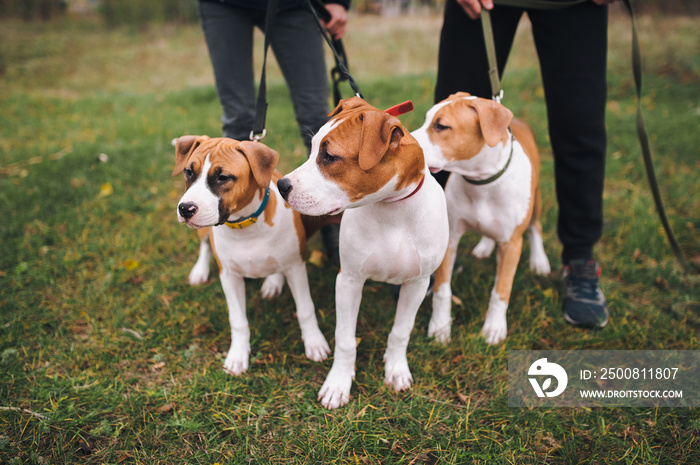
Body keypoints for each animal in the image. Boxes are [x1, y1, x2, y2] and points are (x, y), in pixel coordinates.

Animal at [172, 136, 330, 376]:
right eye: (189, 172)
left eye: (223, 177)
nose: (186, 209)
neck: (244, 227)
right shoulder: (229, 276)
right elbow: (238, 321)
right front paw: (238, 355)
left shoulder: (296, 267)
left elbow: (305, 309)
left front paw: (314, 342)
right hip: (203, 232)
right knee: (204, 244)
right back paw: (200, 271)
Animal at [276, 97, 446, 406]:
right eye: (312, 148)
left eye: (329, 156)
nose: (282, 185)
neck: (391, 210)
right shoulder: (349, 281)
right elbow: (345, 340)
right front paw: (338, 383)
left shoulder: (417, 283)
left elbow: (401, 331)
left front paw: (396, 369)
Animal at [412, 91, 548, 344]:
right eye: (426, 119)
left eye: (441, 126)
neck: (480, 182)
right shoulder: (450, 238)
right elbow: (442, 290)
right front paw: (440, 327)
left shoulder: (511, 244)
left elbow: (500, 291)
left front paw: (494, 328)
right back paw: (485, 246)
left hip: (536, 199)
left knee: (536, 227)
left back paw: (540, 261)